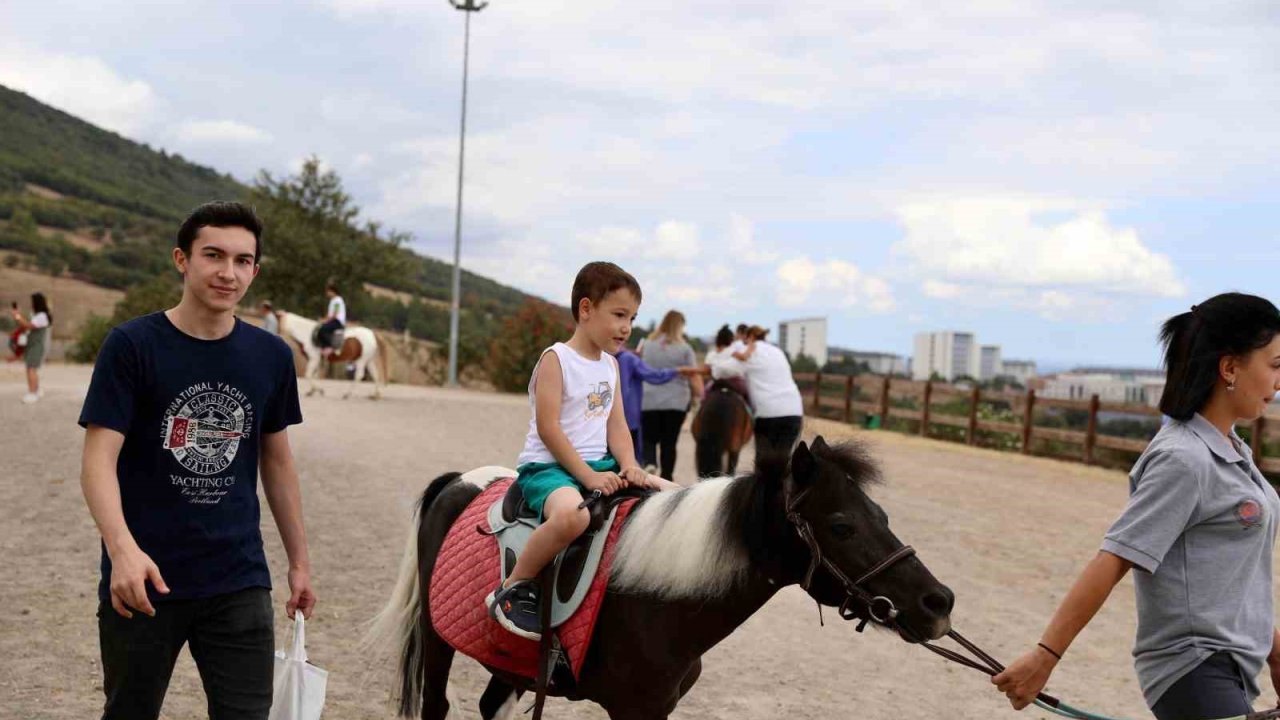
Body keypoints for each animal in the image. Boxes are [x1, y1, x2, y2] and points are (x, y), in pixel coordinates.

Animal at [366, 435, 957, 712]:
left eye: (880, 515)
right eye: (841, 526)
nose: (938, 602)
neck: (656, 600)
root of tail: (460, 481)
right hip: (437, 640)